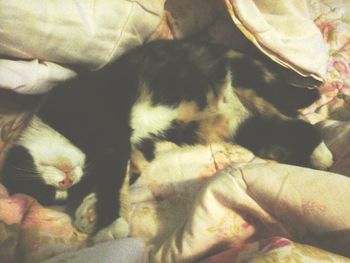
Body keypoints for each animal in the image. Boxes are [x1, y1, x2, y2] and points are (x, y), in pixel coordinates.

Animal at [0, 38, 334, 239]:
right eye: (60, 194)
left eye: (45, 188)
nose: (67, 181)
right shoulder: (135, 149)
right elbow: (125, 174)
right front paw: (88, 209)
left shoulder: (103, 126)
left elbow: (112, 179)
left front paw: (109, 224)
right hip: (242, 126)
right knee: (284, 131)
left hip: (249, 86)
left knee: (300, 122)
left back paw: (322, 155)